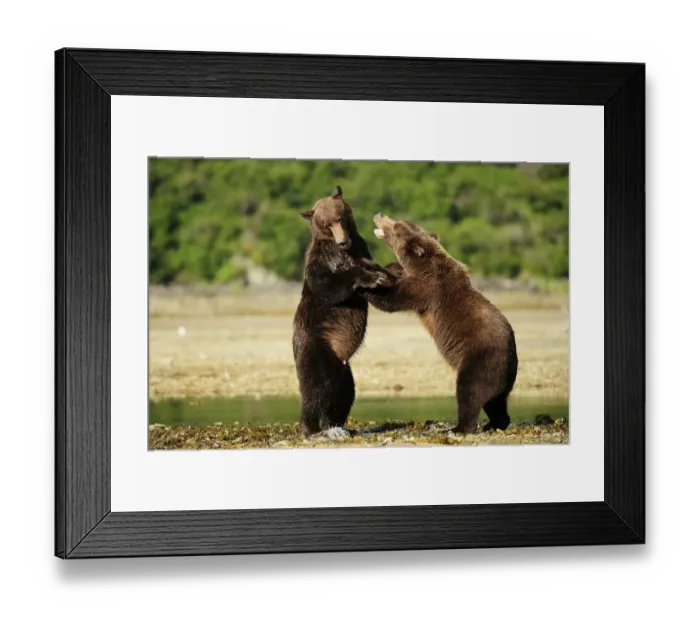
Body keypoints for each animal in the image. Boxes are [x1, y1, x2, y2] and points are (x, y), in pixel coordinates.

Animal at [292, 187, 394, 437]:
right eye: (326, 224)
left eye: (339, 219)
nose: (342, 241)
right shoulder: (322, 259)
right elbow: (327, 283)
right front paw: (371, 277)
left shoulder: (361, 248)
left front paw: (385, 275)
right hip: (315, 344)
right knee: (315, 386)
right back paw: (312, 428)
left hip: (341, 366)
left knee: (344, 392)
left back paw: (336, 424)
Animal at [365, 212, 518, 434]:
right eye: (398, 221)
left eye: (396, 226)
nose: (380, 215)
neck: (424, 264)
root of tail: (510, 360)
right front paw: (389, 268)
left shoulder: (426, 288)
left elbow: (392, 299)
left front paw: (368, 284)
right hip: (501, 376)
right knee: (495, 402)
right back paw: (494, 423)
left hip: (481, 360)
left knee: (469, 392)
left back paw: (458, 428)